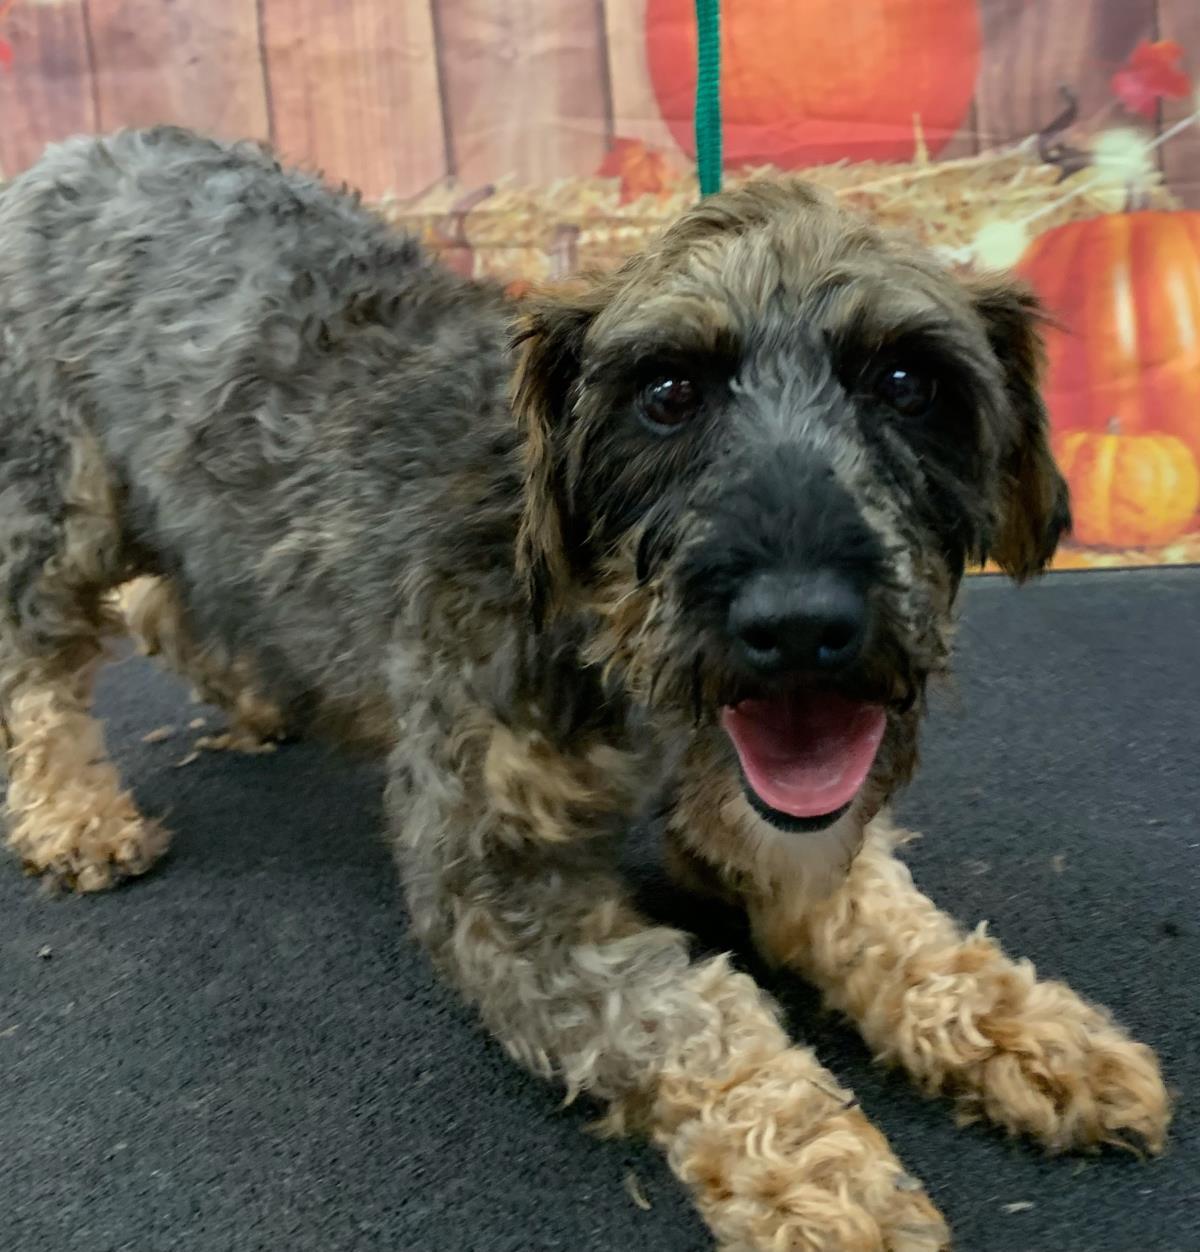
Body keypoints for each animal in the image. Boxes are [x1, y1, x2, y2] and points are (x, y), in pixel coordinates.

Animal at [0, 129, 1167, 1252]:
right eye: (666, 393)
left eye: (907, 383)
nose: (799, 625)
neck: (612, 645)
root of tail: (67, 157)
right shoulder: (499, 884)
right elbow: (697, 1014)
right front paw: (823, 1178)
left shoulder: (777, 830)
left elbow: (892, 926)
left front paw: (1031, 1030)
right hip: (63, 503)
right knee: (41, 662)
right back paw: (75, 813)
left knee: (174, 604)